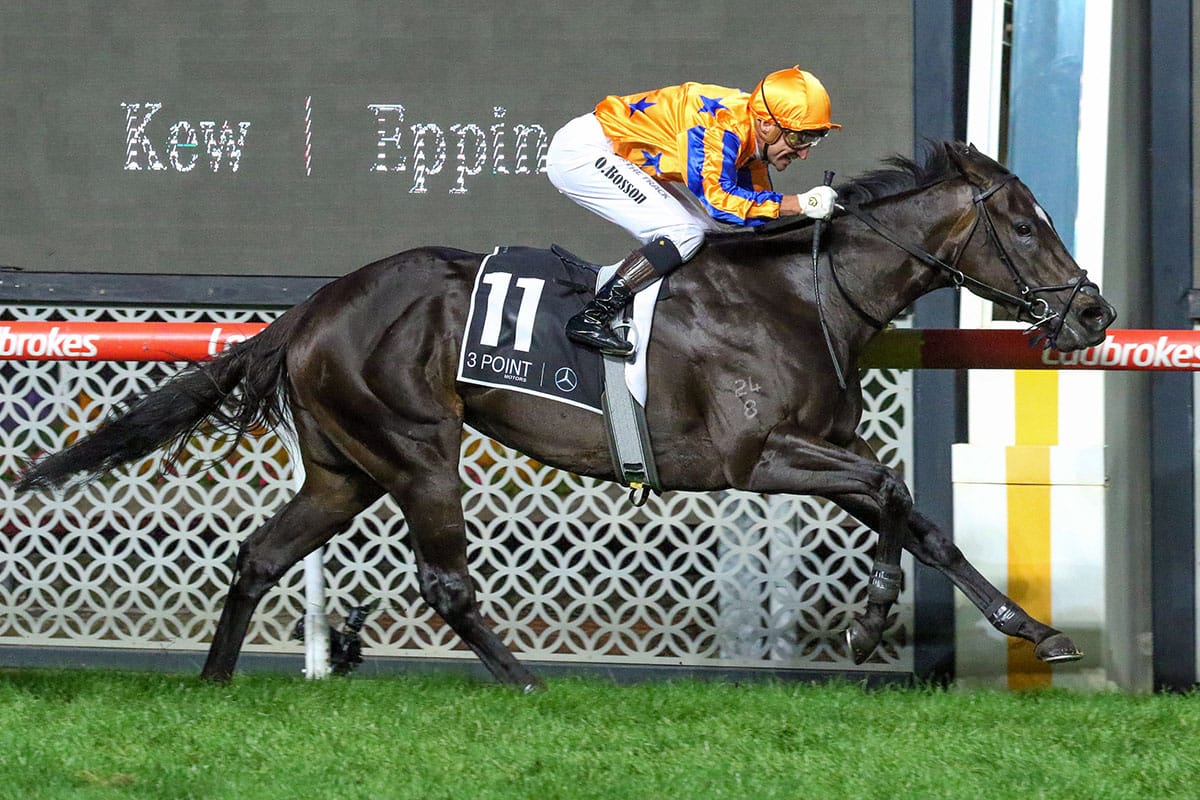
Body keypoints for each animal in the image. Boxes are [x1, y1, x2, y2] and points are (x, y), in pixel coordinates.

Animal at [16, 141, 1117, 689]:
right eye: (1026, 225)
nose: (1095, 313)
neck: (798, 294)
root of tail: (316, 306)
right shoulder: (755, 456)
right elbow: (890, 491)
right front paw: (875, 615)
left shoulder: (821, 443)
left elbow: (914, 514)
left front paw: (1026, 629)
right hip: (417, 448)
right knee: (445, 582)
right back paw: (530, 686)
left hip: (344, 467)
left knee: (258, 554)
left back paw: (213, 683)